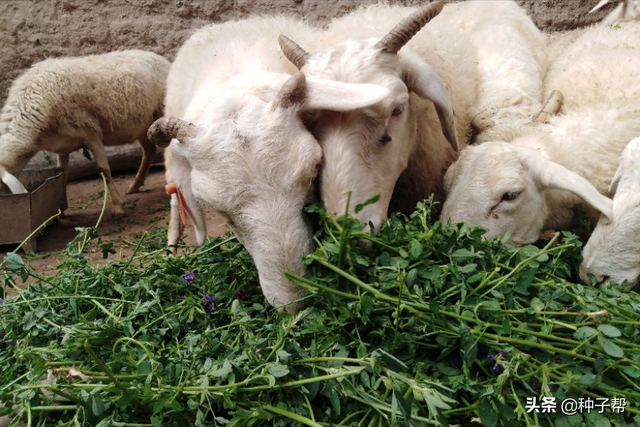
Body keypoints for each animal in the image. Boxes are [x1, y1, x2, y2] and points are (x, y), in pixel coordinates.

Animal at [0, 50, 170, 217]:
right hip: (144, 125)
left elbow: (105, 171)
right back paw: (135, 185)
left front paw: (118, 207)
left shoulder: (91, 134)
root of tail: (158, 57)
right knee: (149, 150)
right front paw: (61, 209)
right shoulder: (62, 146)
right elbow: (63, 174)